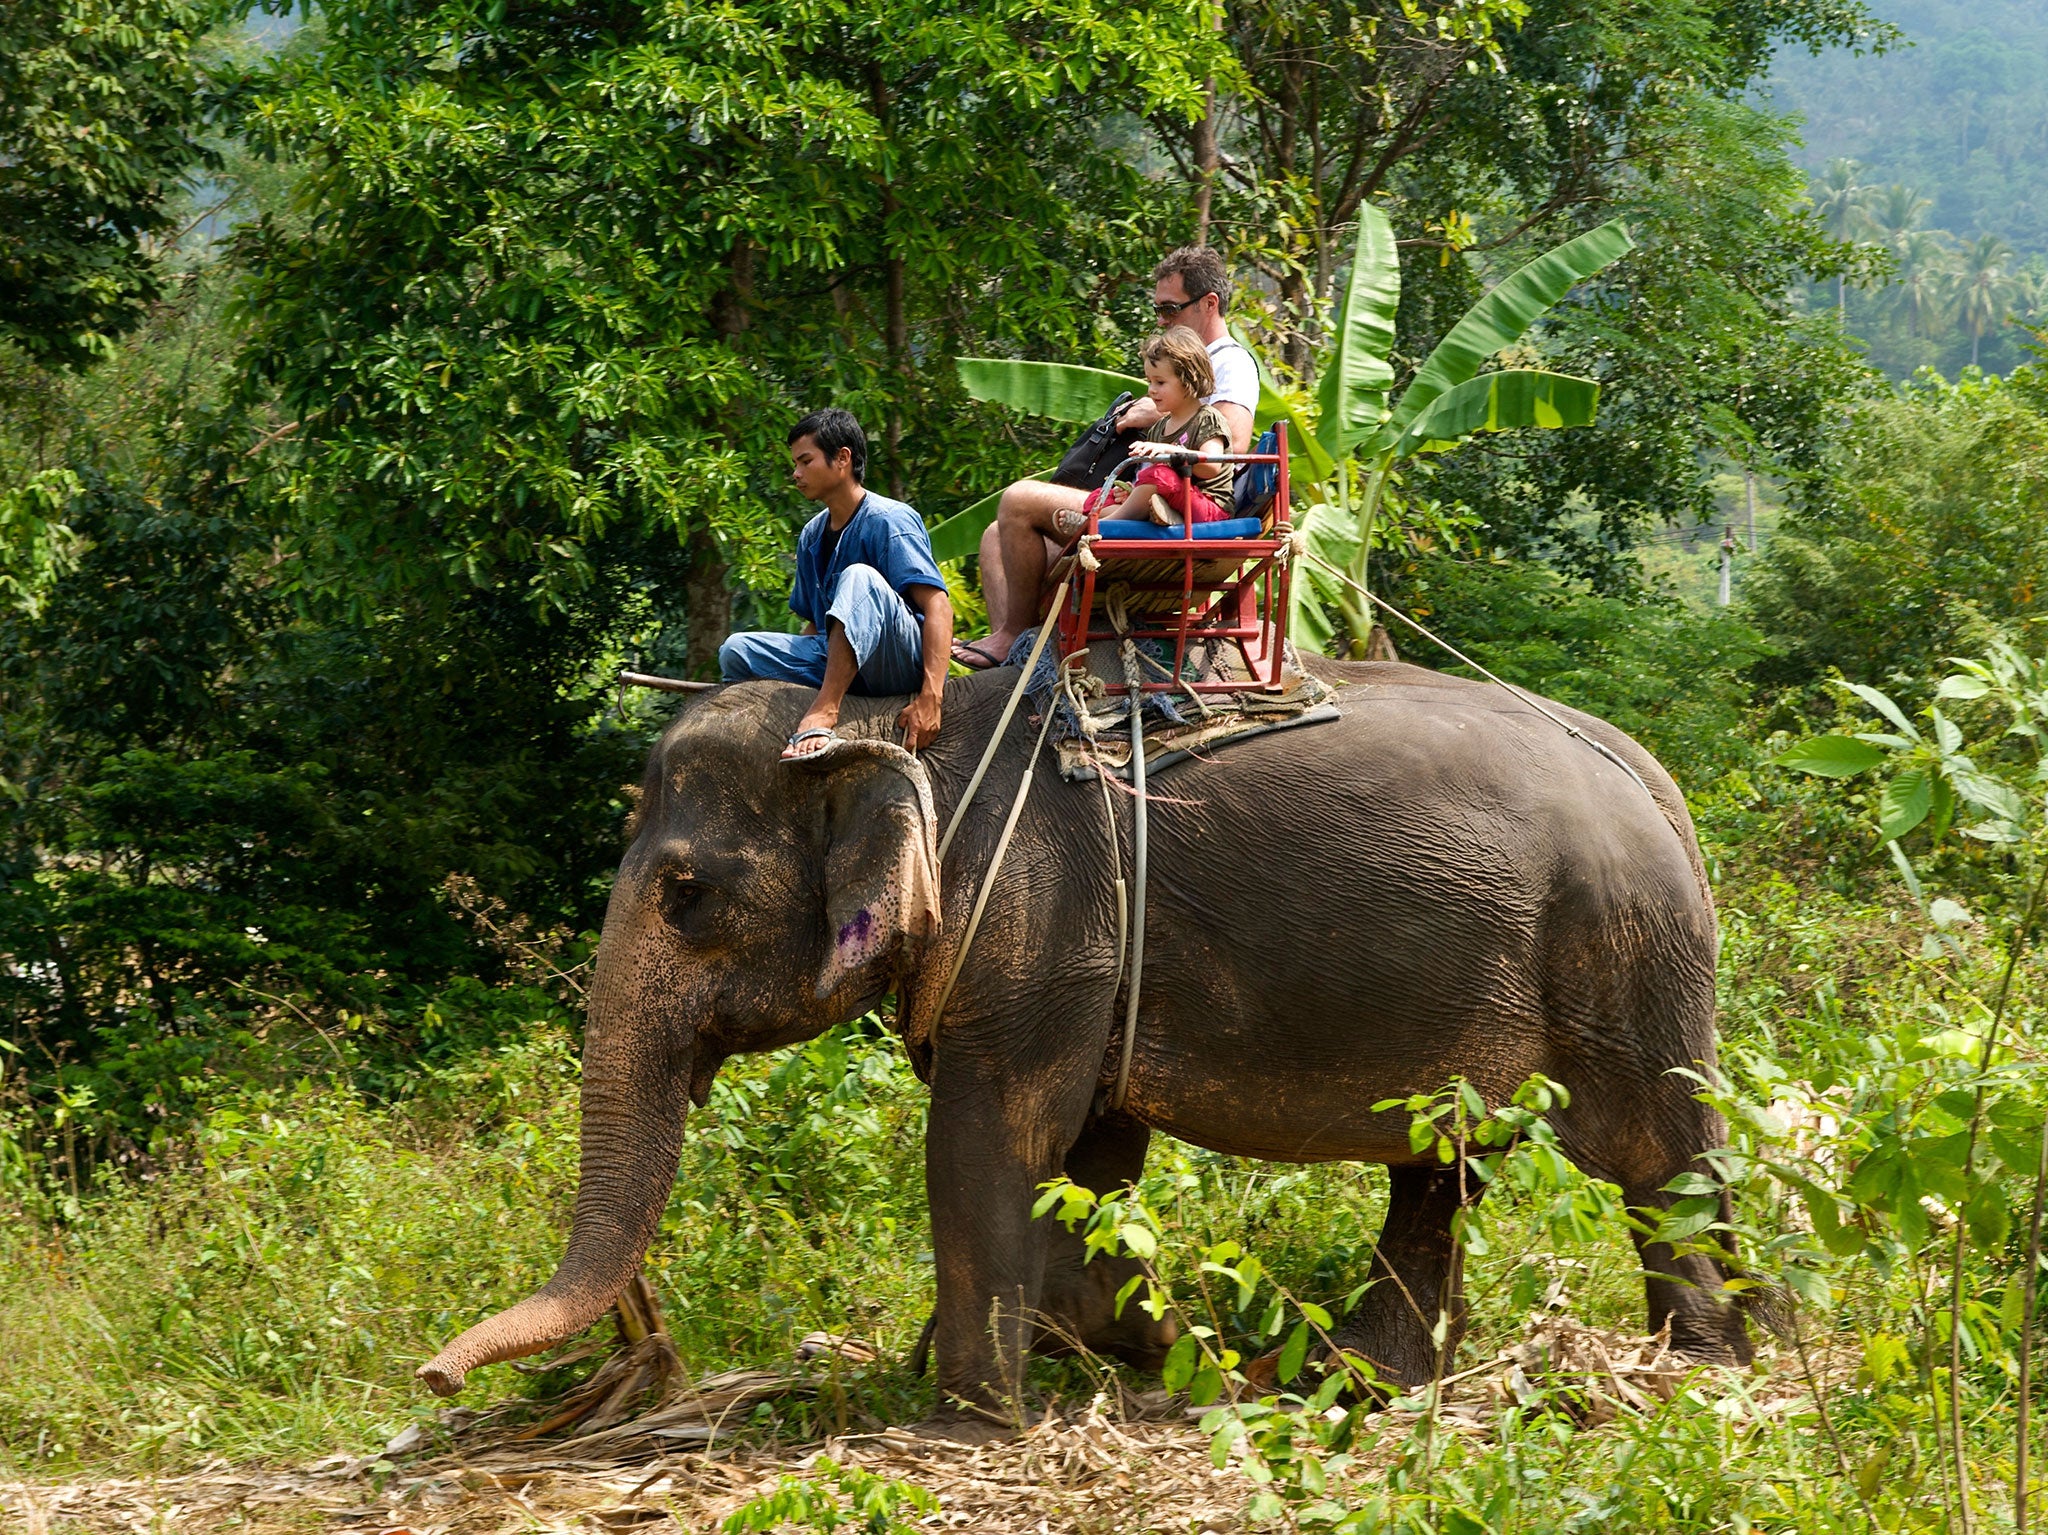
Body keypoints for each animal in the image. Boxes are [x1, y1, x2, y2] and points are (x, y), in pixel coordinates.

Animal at [411, 663, 1744, 1432]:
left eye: (683, 893)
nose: (435, 1379)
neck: (891, 723)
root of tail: (1656, 779)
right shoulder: (1079, 960)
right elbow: (1094, 1155)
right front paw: (1144, 1346)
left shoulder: (1039, 919)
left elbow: (992, 1135)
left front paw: (971, 1419)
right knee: (1443, 1164)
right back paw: (1355, 1382)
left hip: (1616, 951)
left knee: (1653, 1155)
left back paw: (1703, 1365)